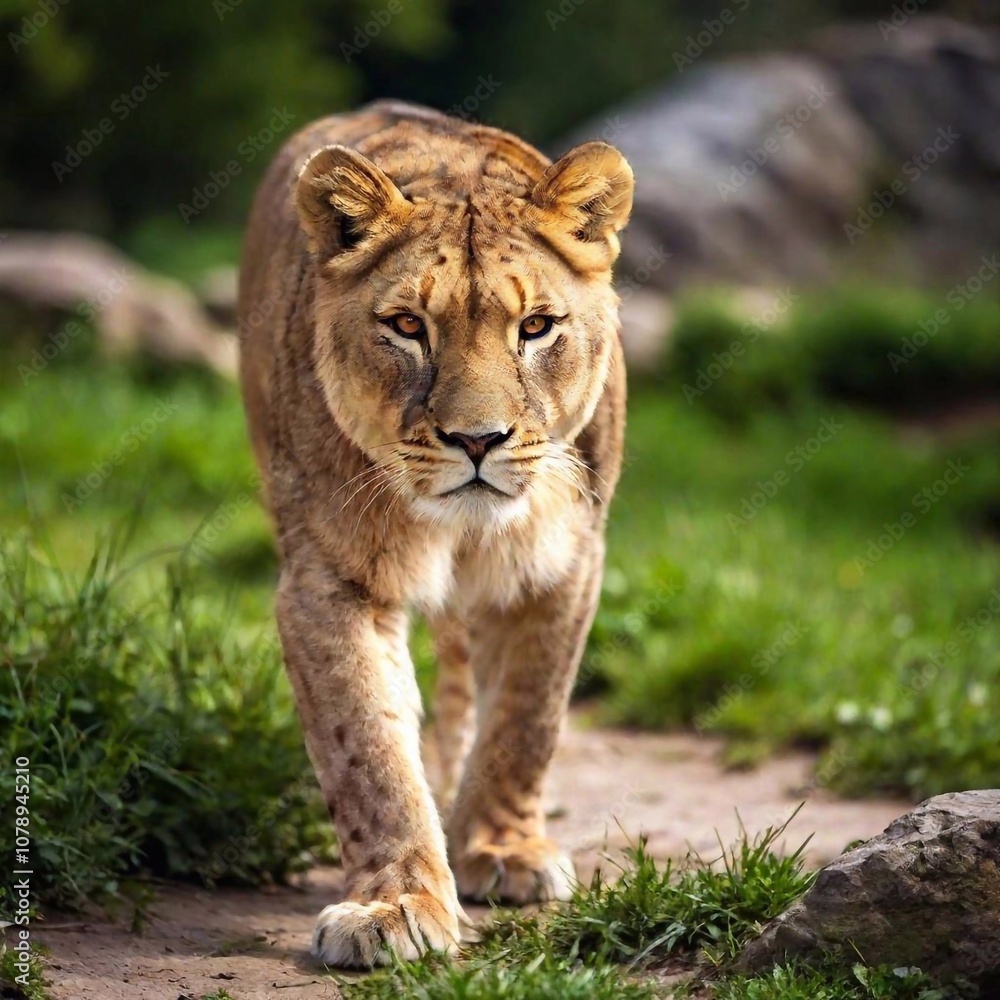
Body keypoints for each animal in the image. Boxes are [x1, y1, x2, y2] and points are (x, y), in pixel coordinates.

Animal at [237, 99, 632, 968]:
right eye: (407, 325)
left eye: (537, 326)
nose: (477, 440)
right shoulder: (328, 580)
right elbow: (369, 750)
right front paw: (395, 904)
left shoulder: (566, 564)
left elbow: (527, 718)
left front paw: (500, 849)